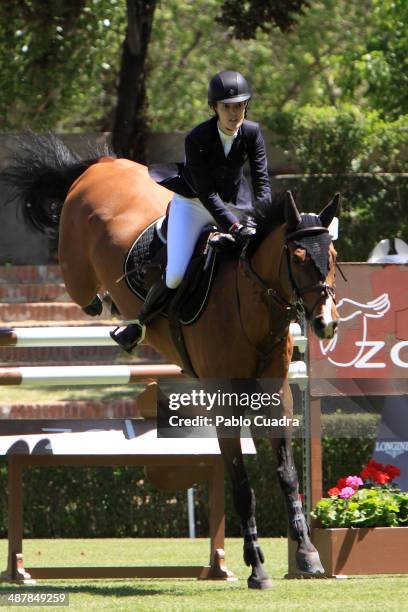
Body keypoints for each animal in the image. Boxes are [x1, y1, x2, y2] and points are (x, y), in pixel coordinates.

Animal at [0, 134, 338, 588]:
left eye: (332, 256)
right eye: (299, 258)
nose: (325, 324)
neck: (250, 306)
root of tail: (101, 165)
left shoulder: (277, 391)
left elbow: (286, 474)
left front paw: (308, 556)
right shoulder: (223, 396)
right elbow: (241, 482)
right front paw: (257, 566)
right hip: (76, 266)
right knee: (85, 295)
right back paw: (117, 317)